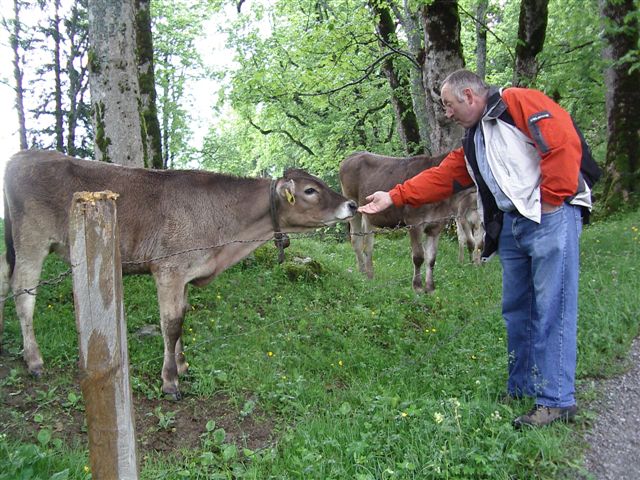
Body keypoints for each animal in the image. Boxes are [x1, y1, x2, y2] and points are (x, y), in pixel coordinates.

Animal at [0, 150, 357, 399]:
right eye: (310, 190)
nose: (352, 205)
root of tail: (22, 155)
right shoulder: (169, 271)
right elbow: (170, 325)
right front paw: (170, 381)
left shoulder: (186, 273)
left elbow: (183, 317)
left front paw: (183, 365)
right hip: (31, 241)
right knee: (23, 296)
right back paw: (34, 361)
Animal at [339, 151, 483, 293]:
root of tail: (353, 155)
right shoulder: (415, 222)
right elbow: (419, 256)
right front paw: (418, 287)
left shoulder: (436, 226)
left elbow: (431, 258)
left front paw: (430, 288)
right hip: (353, 207)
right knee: (356, 241)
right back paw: (362, 273)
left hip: (369, 216)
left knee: (368, 243)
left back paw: (369, 275)